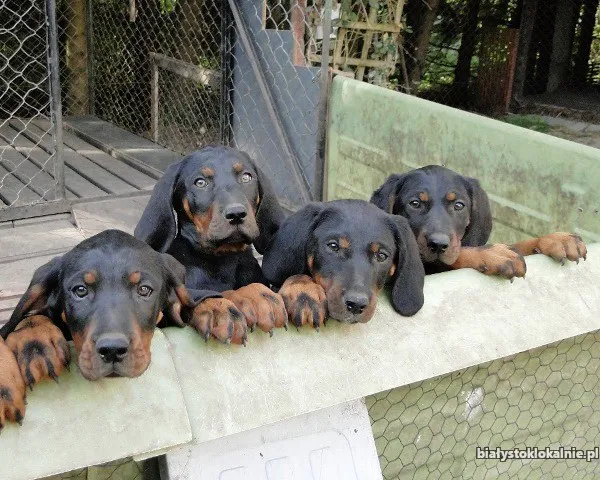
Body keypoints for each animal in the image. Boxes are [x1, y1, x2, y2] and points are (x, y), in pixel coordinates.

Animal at [134, 146, 288, 342]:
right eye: (200, 182)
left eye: (246, 177)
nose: (236, 214)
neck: (222, 259)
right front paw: (219, 306)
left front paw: (257, 294)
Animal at [370, 165, 584, 278]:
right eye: (414, 203)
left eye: (459, 205)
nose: (438, 245)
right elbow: (459, 255)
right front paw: (492, 254)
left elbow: (518, 245)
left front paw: (556, 239)